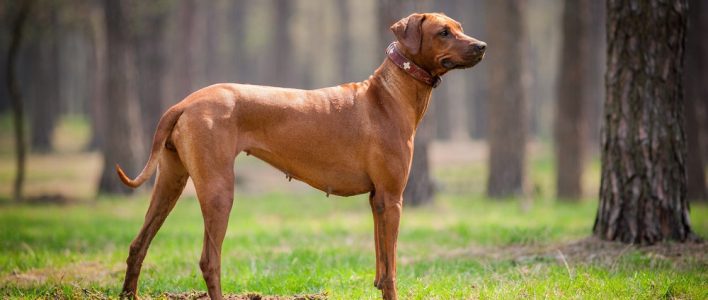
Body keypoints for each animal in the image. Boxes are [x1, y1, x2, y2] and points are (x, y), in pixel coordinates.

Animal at [119, 12, 486, 300]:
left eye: (459, 26)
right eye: (443, 32)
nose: (482, 46)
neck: (390, 94)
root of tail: (185, 102)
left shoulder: (377, 200)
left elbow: (382, 266)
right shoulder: (393, 197)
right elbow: (392, 271)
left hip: (170, 181)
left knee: (138, 244)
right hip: (219, 189)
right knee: (209, 260)